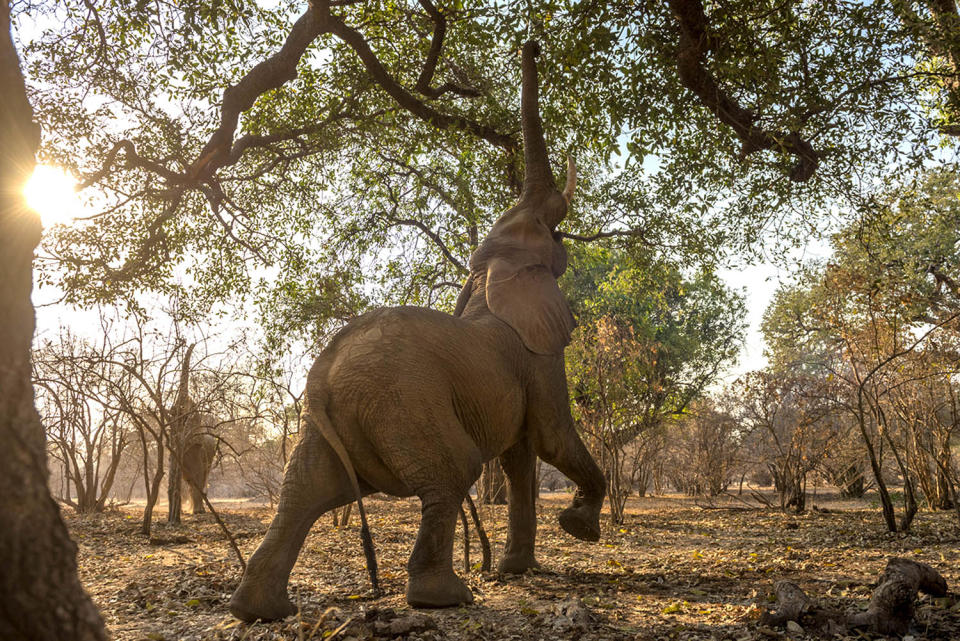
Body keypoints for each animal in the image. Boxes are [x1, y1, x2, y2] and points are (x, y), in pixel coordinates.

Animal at [231, 41, 608, 620]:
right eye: (553, 230)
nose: (531, 44)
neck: (491, 277)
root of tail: (321, 375)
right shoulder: (540, 355)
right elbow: (550, 437)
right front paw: (577, 529)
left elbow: (520, 457)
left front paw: (515, 570)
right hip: (403, 402)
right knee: (452, 470)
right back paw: (445, 597)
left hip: (344, 419)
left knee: (307, 489)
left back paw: (259, 610)